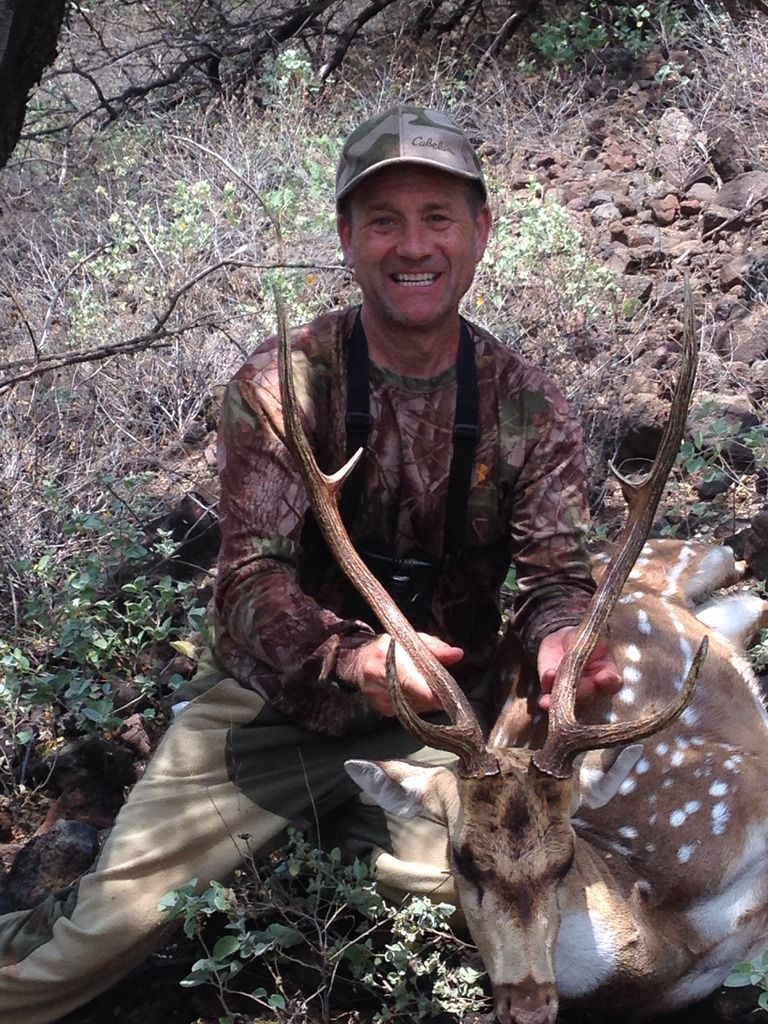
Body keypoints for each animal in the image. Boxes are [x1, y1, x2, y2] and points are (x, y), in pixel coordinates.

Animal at [275, 286, 768, 1024]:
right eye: (463, 862)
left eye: (565, 861)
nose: (528, 1002)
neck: (667, 934)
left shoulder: (736, 787)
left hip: (692, 556)